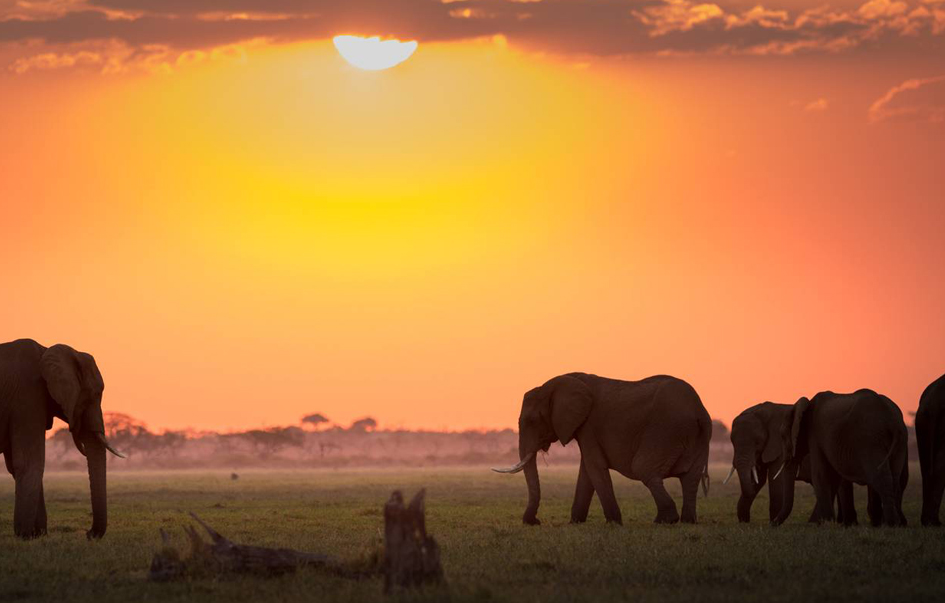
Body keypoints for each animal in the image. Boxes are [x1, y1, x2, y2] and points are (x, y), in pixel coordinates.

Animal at [0, 338, 123, 540]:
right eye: (96, 394)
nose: (89, 534)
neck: (46, 351)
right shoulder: (27, 397)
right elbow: (29, 462)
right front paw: (25, 535)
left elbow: (17, 466)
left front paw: (37, 535)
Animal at [494, 376, 708, 528]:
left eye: (531, 421)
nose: (534, 522)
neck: (556, 383)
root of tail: (699, 411)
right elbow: (586, 472)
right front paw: (575, 523)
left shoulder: (589, 425)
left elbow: (594, 467)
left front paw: (613, 523)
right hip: (695, 437)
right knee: (691, 478)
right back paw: (688, 521)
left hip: (665, 430)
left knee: (643, 469)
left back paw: (665, 520)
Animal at [772, 390, 912, 528]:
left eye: (783, 436)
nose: (773, 523)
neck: (805, 405)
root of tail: (892, 421)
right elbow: (833, 477)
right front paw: (828, 523)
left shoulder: (815, 436)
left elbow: (821, 475)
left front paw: (827, 524)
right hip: (899, 442)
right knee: (894, 479)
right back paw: (893, 524)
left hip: (871, 440)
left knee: (880, 478)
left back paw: (890, 524)